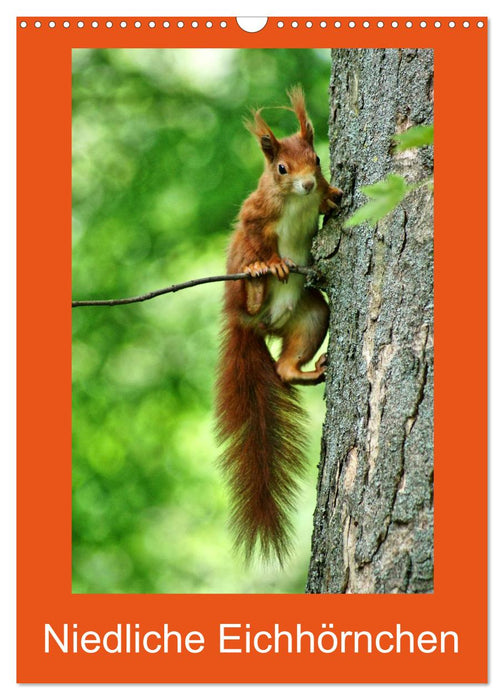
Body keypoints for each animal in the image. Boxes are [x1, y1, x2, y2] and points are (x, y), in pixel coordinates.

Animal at [216, 86, 342, 565]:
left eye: (318, 159)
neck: (297, 201)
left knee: (285, 369)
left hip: (311, 315)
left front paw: (333, 195)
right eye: (282, 169)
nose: (307, 183)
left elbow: (328, 198)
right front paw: (268, 262)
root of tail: (251, 328)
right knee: (248, 291)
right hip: (241, 292)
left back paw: (307, 370)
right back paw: (254, 284)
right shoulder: (255, 214)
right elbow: (256, 234)